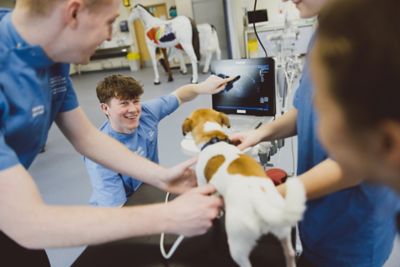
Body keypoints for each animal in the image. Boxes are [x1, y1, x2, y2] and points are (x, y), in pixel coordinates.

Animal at [182, 108, 306, 267]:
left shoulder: (204, 182)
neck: (213, 139)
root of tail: (261, 205)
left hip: (238, 244)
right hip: (283, 230)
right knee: (289, 253)